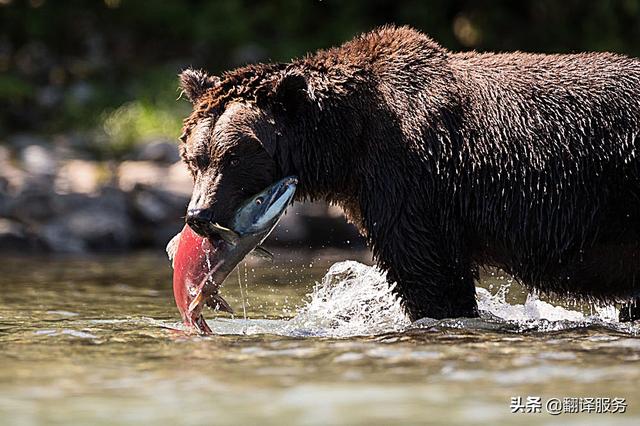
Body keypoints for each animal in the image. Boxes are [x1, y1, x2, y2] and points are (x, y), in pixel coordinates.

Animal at [176, 25, 640, 322]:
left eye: (234, 157)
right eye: (195, 158)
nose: (198, 216)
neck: (346, 144)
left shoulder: (412, 179)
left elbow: (429, 275)